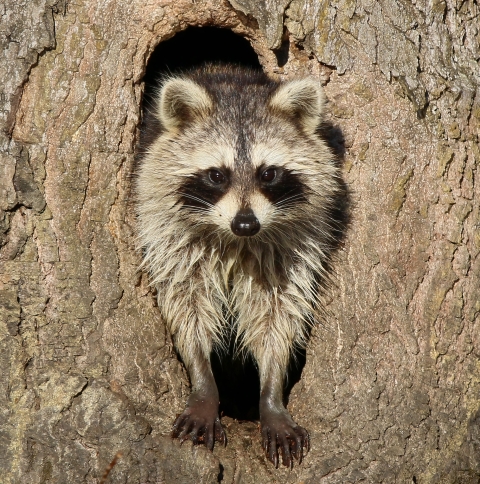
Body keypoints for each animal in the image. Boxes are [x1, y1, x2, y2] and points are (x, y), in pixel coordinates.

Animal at [137, 64, 344, 466]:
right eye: (217, 175)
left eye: (268, 174)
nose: (246, 224)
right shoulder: (169, 234)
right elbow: (187, 304)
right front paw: (203, 381)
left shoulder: (290, 246)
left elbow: (277, 315)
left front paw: (272, 393)